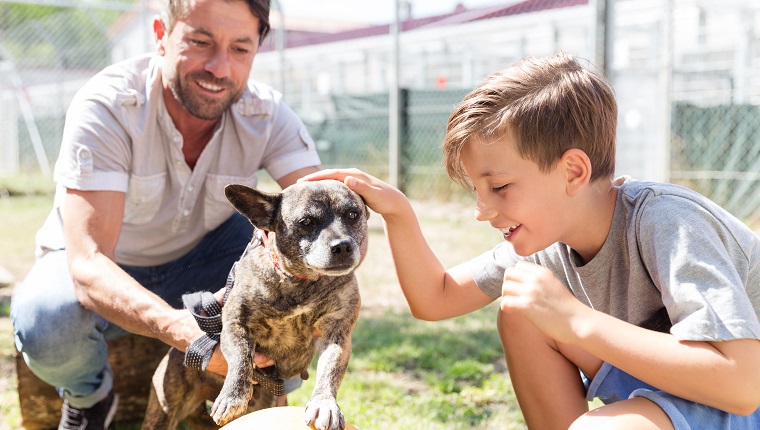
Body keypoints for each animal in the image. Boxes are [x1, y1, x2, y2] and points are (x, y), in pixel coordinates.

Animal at [144, 180, 370, 430]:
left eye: (353, 214)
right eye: (306, 222)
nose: (343, 246)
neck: (299, 280)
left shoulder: (337, 333)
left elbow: (330, 370)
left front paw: (324, 404)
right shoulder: (236, 326)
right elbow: (242, 358)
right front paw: (233, 396)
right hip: (164, 411)